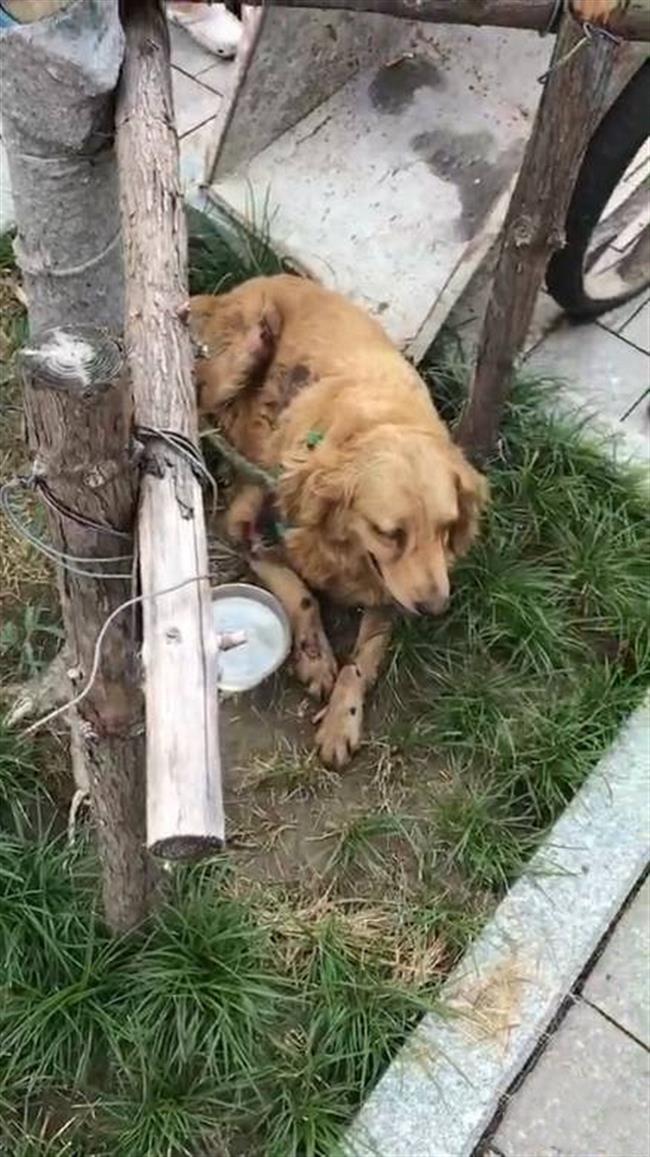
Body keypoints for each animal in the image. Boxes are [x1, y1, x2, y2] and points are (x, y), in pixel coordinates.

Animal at [189, 274, 483, 768]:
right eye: (389, 532)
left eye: (446, 528)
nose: (435, 608)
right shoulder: (246, 527)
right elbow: (301, 594)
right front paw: (314, 656)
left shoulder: (391, 593)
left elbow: (362, 660)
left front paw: (342, 718)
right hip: (235, 361)